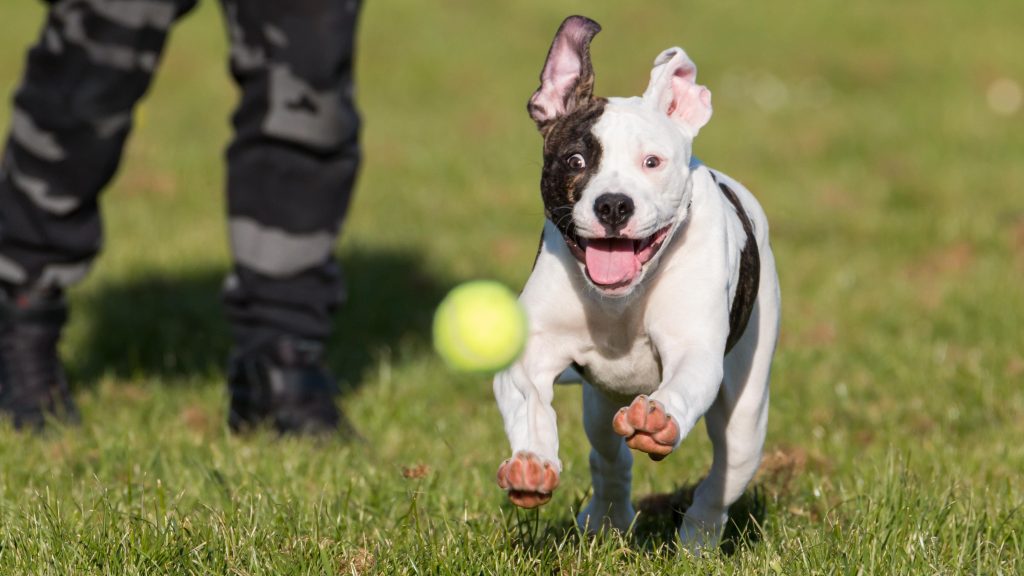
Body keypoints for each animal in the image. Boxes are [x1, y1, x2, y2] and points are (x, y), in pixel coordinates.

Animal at [491, 15, 778, 549]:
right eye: (576, 161)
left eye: (652, 162)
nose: (613, 205)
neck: (620, 301)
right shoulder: (531, 353)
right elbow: (528, 398)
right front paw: (532, 462)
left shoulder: (694, 348)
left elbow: (684, 381)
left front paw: (658, 418)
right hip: (599, 404)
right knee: (609, 456)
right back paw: (607, 518)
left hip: (747, 411)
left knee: (724, 475)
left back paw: (698, 541)